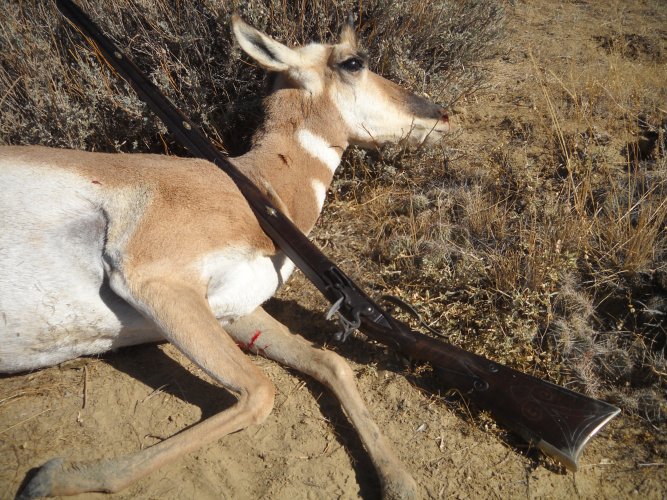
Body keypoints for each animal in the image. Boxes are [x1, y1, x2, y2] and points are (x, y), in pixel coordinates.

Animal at [1, 15, 450, 499]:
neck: (253, 184)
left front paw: (401, 481)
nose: (441, 114)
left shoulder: (235, 311)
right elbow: (260, 392)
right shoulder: (155, 281)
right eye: (353, 62)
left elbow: (333, 363)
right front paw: (51, 478)